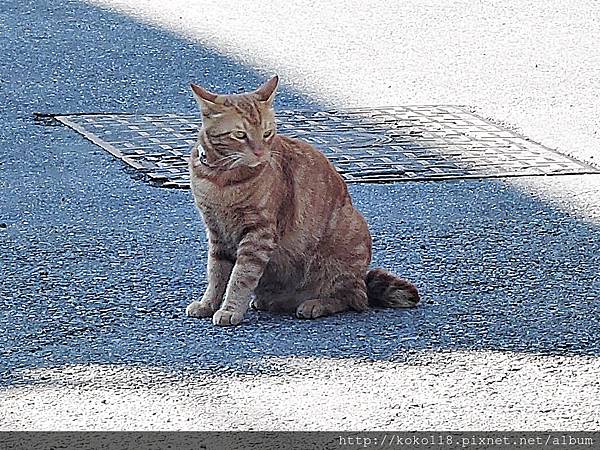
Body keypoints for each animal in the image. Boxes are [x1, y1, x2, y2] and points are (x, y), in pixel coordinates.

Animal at [185, 75, 420, 326]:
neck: (220, 178)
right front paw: (208, 303)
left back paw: (315, 304)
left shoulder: (258, 234)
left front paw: (230, 309)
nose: (260, 153)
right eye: (240, 135)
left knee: (352, 298)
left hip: (345, 242)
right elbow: (216, 273)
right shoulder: (217, 232)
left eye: (267, 134)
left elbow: (240, 276)